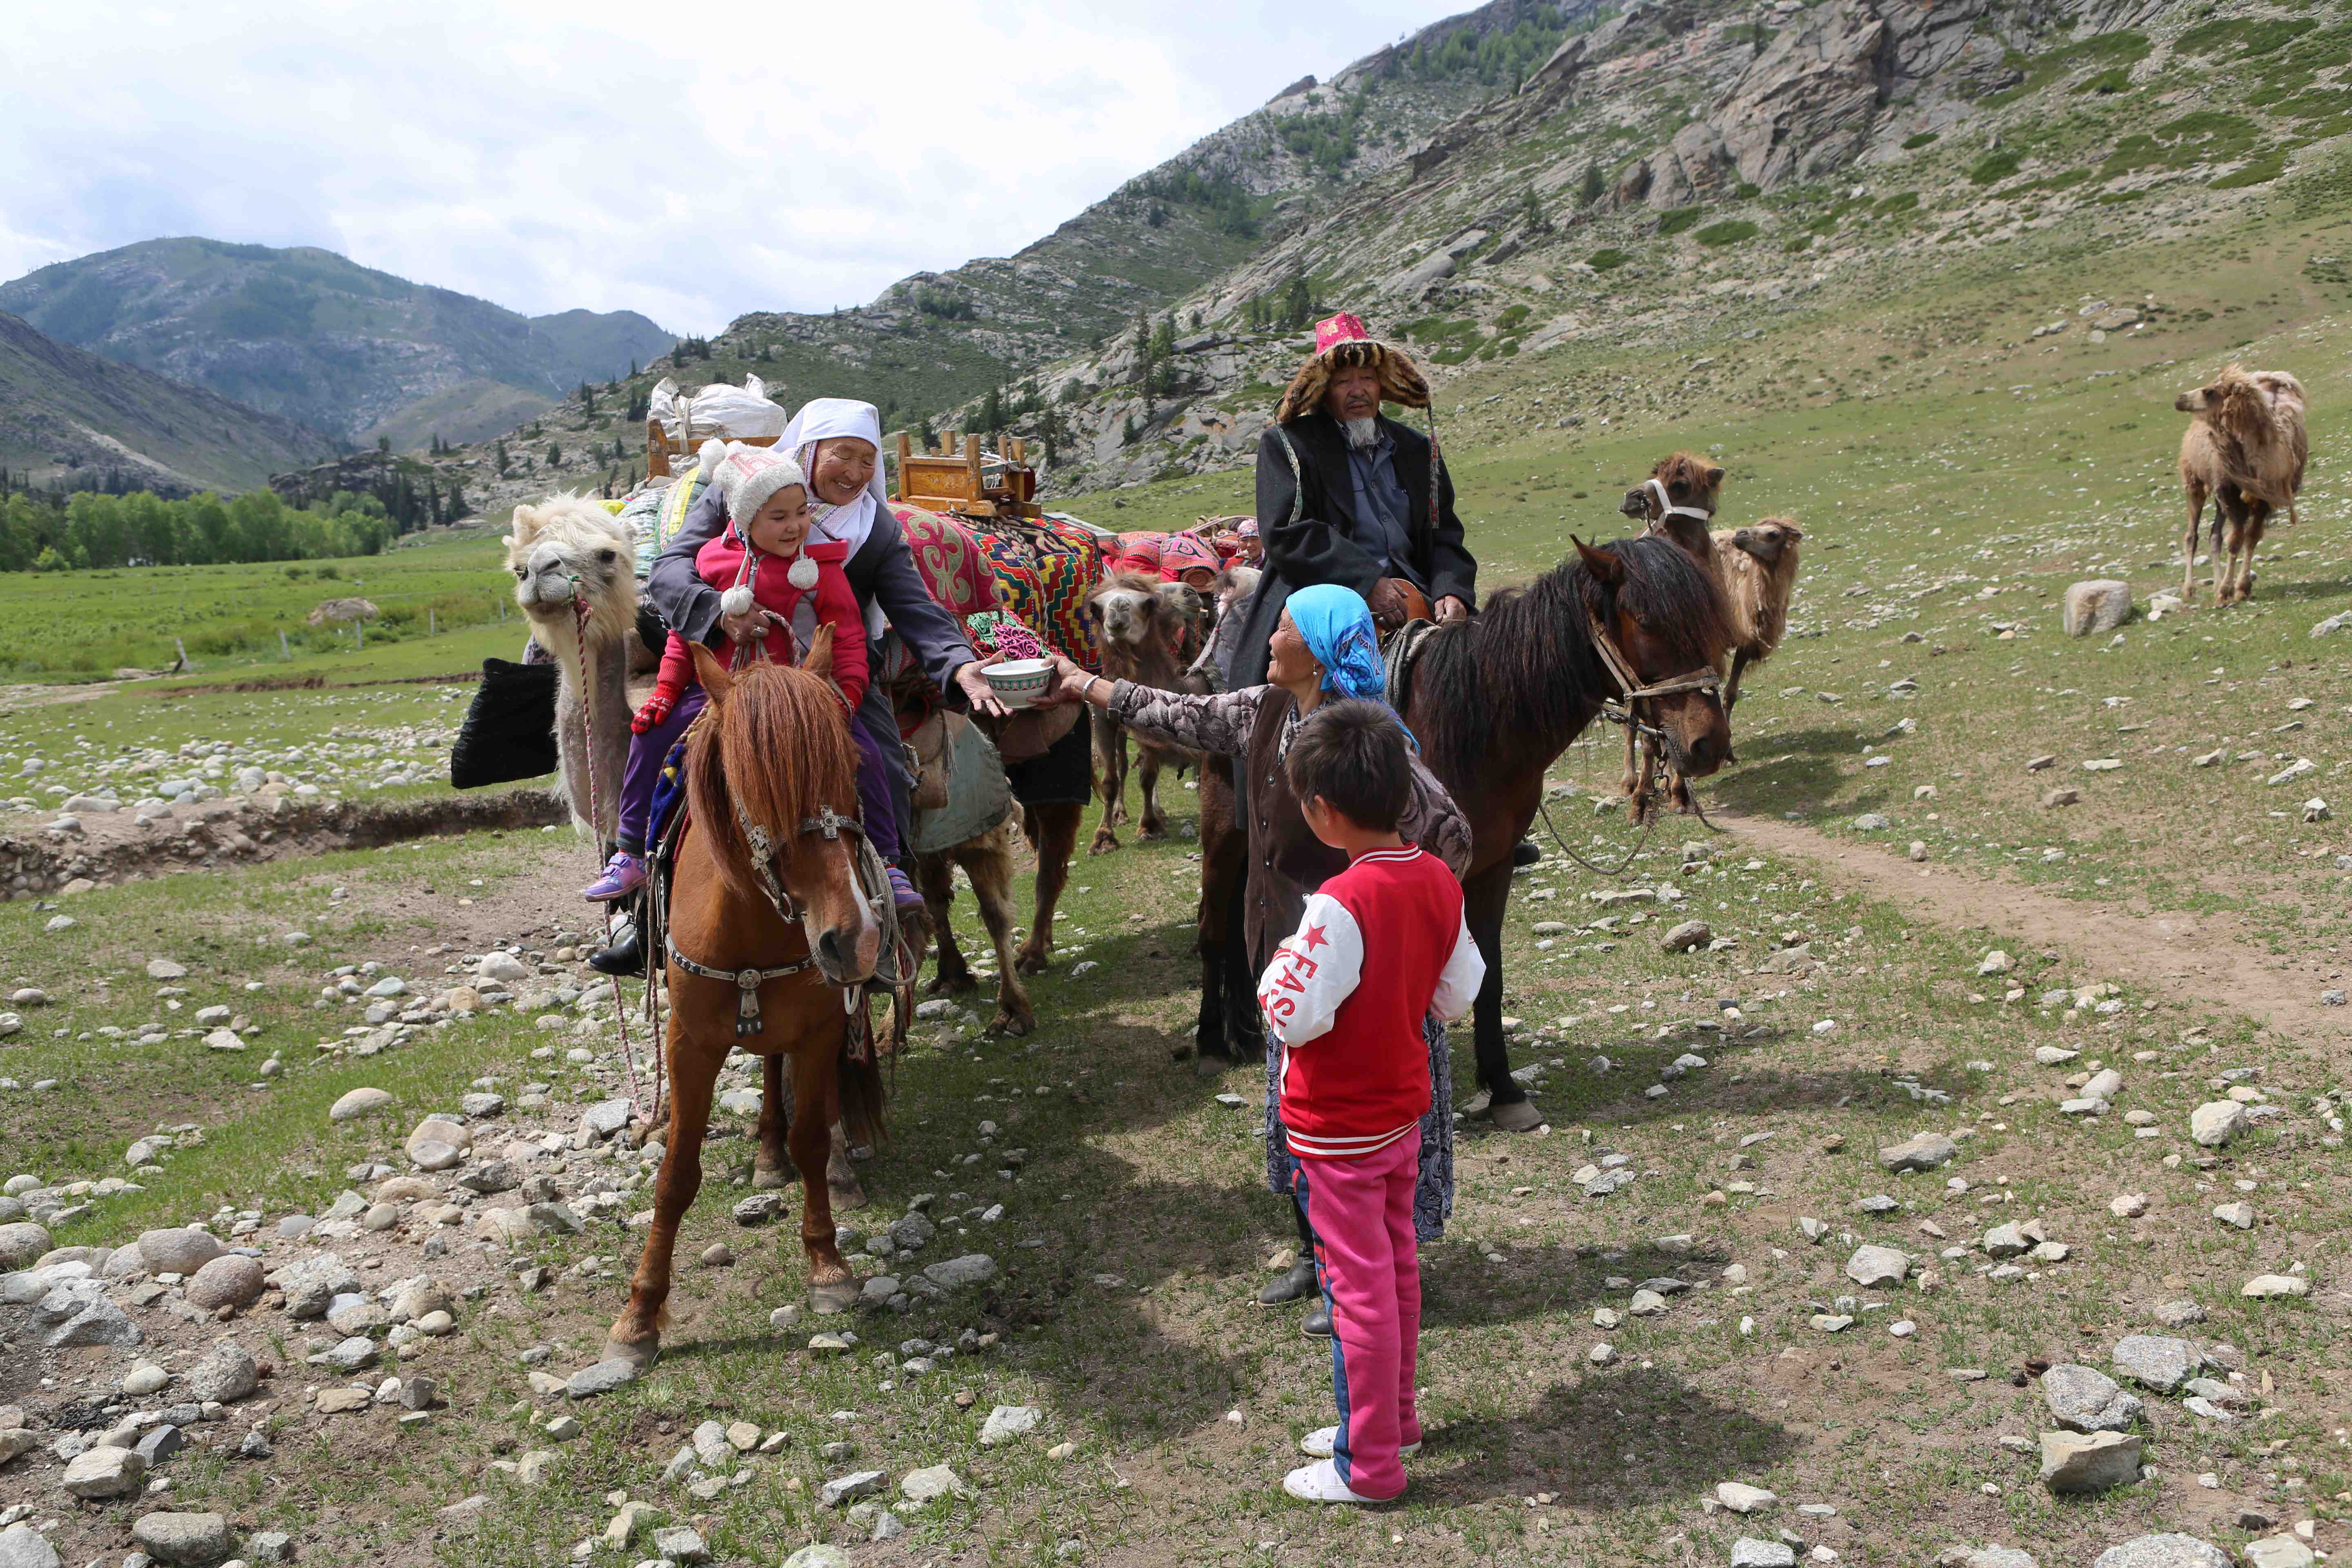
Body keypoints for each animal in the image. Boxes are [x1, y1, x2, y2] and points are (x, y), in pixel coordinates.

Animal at [607, 639, 889, 1373]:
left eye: (853, 766)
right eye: (752, 784)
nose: (852, 939)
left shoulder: (820, 1030)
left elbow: (814, 1140)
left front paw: (827, 1266)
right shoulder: (689, 1043)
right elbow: (676, 1175)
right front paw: (639, 1317)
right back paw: (765, 1153)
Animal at [2173, 369, 2305, 606]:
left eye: (2209, 392)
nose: (2180, 399)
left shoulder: (2263, 500)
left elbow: (2251, 538)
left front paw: (2241, 587)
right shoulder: (2230, 494)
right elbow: (2236, 541)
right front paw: (2227, 591)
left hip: (2219, 496)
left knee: (2215, 535)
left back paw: (2215, 584)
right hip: (2195, 484)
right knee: (2192, 535)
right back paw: (2189, 589)